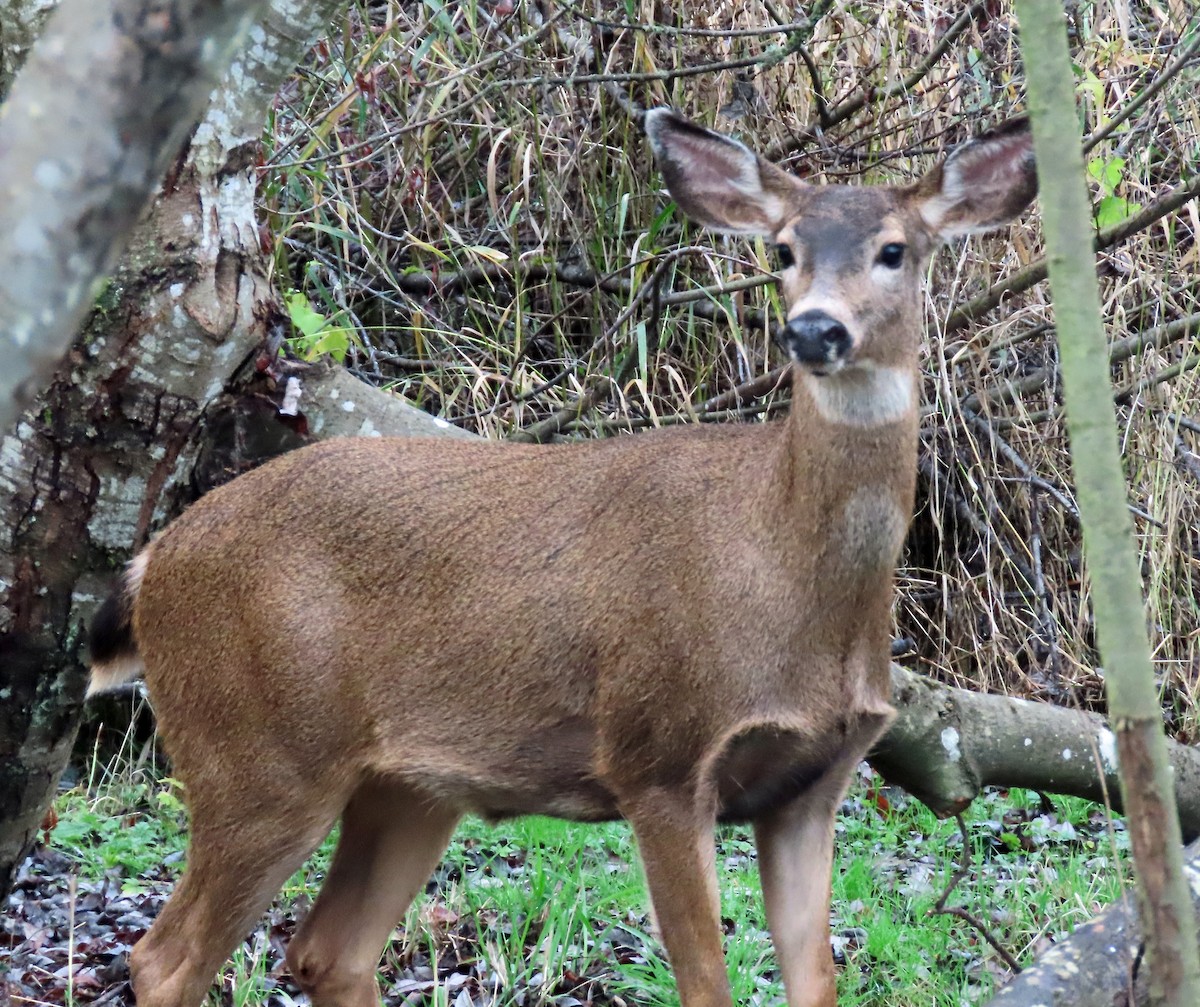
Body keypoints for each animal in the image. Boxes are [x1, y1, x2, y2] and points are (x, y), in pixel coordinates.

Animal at [86, 108, 1036, 1007]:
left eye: (894, 250)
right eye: (783, 250)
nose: (814, 330)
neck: (787, 580)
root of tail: (152, 563)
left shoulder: (813, 784)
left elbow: (817, 982)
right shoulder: (659, 754)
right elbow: (706, 982)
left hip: (408, 786)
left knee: (326, 950)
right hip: (257, 752)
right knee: (167, 957)